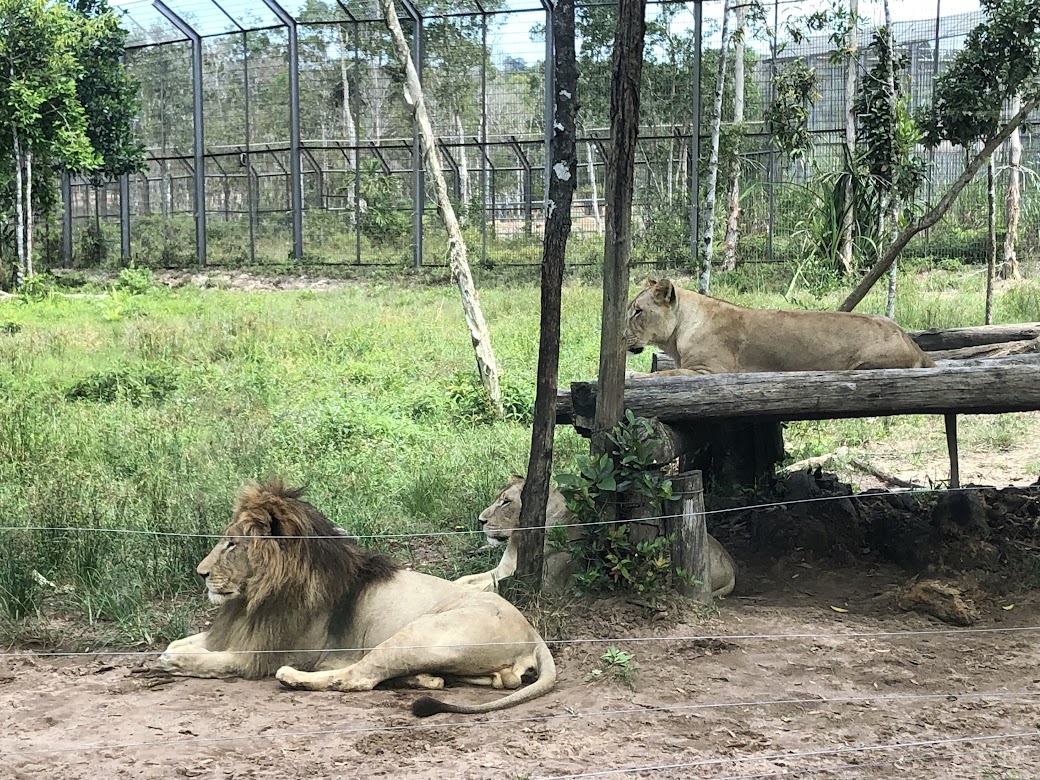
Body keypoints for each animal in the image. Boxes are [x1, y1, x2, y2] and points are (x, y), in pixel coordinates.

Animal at [158, 482, 557, 719]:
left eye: (232, 545)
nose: (200, 573)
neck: (253, 598)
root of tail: (533, 632)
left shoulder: (260, 654)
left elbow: (208, 661)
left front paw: (172, 661)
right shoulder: (238, 632)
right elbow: (183, 641)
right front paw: (172, 651)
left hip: (417, 634)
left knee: (358, 677)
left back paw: (295, 679)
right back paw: (426, 679)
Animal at [455, 476, 740, 599]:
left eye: (506, 502)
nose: (480, 520)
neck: (517, 539)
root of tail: (731, 565)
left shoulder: (546, 585)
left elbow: (485, 587)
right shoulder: (503, 569)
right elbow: (467, 580)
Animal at [619, 278, 931, 376]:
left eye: (637, 311)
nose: (620, 337)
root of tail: (913, 342)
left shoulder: (710, 371)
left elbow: (664, 375)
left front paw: (635, 376)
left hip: (868, 361)